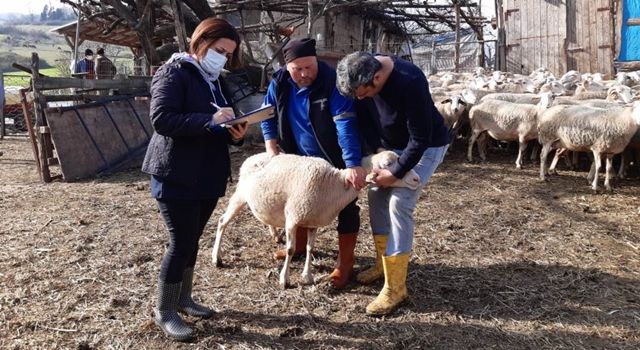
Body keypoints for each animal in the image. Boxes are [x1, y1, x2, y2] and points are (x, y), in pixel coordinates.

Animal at [210, 152, 420, 288]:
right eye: (387, 164)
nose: (417, 179)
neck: (334, 184)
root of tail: (251, 157)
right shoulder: (293, 218)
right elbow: (291, 249)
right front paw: (284, 280)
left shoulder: (313, 221)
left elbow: (310, 248)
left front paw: (308, 276)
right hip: (240, 195)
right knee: (222, 222)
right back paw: (216, 258)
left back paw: (274, 234)